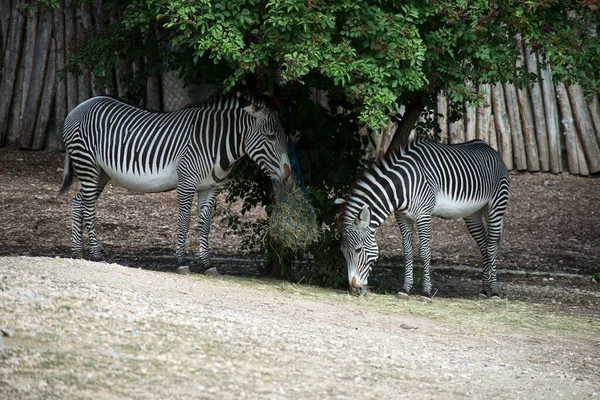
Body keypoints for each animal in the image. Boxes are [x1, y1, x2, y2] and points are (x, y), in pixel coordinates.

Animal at [59, 92, 292, 270]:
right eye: (271, 136)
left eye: (285, 136)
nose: (288, 173)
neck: (215, 143)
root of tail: (80, 105)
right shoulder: (186, 183)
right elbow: (184, 221)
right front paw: (181, 262)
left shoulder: (211, 188)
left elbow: (205, 225)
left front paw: (207, 264)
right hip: (87, 164)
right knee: (89, 208)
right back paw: (96, 254)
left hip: (101, 173)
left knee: (78, 202)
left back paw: (78, 252)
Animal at [336, 139, 508, 298]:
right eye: (342, 252)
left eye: (358, 250)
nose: (354, 288)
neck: (402, 186)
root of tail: (490, 148)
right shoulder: (402, 217)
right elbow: (407, 252)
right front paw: (405, 289)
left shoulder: (423, 215)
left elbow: (424, 252)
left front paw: (426, 292)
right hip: (473, 214)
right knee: (484, 246)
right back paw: (484, 290)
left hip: (495, 207)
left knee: (491, 247)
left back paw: (494, 292)